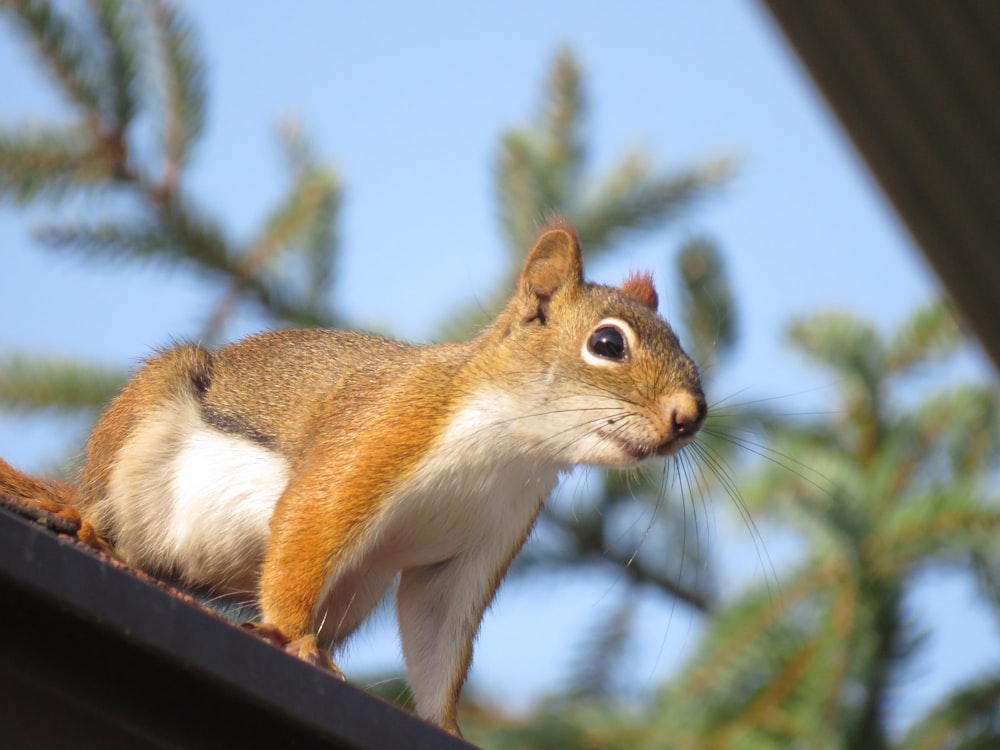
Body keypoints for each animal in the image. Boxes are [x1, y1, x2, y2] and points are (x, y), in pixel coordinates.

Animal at [0, 219, 704, 740]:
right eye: (608, 344)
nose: (690, 418)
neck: (512, 450)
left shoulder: (480, 544)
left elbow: (436, 634)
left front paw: (447, 727)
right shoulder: (379, 435)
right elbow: (308, 522)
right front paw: (293, 638)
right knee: (105, 511)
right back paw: (88, 525)